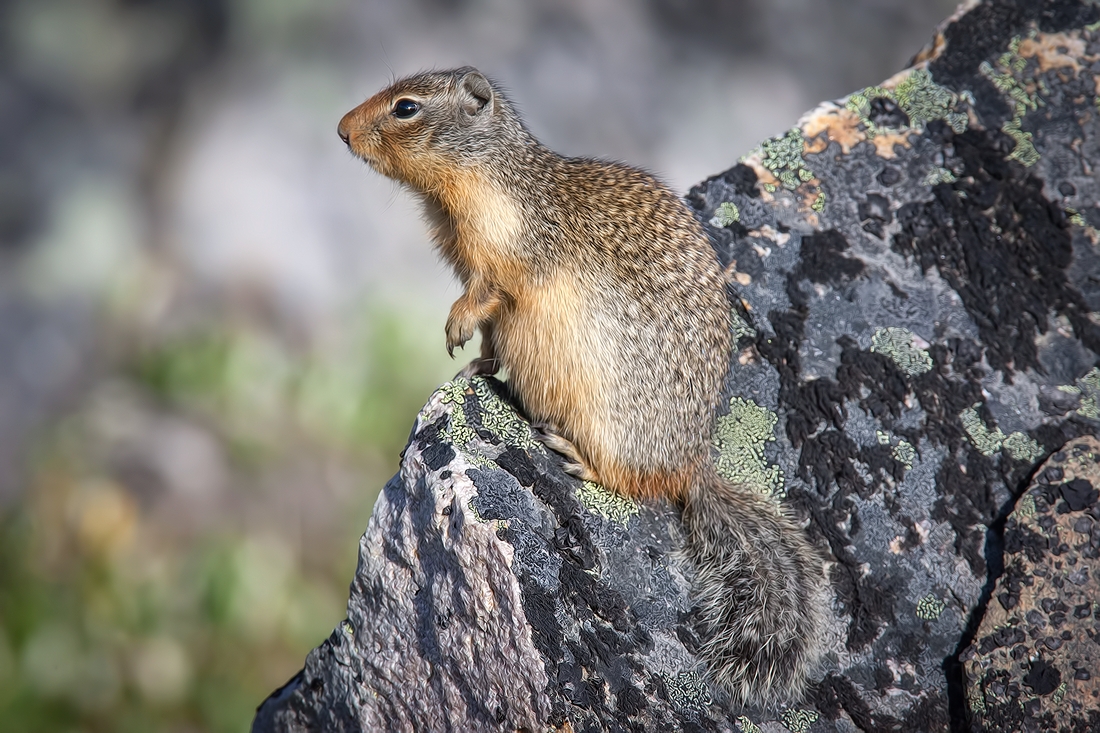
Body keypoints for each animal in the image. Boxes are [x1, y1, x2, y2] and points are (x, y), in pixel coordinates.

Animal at [336, 65, 827, 704]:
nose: (341, 130)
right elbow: (490, 327)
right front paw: (474, 364)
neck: (489, 176)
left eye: (406, 107)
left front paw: (454, 331)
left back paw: (574, 454)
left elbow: (487, 294)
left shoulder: (504, 255)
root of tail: (694, 464)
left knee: (631, 483)